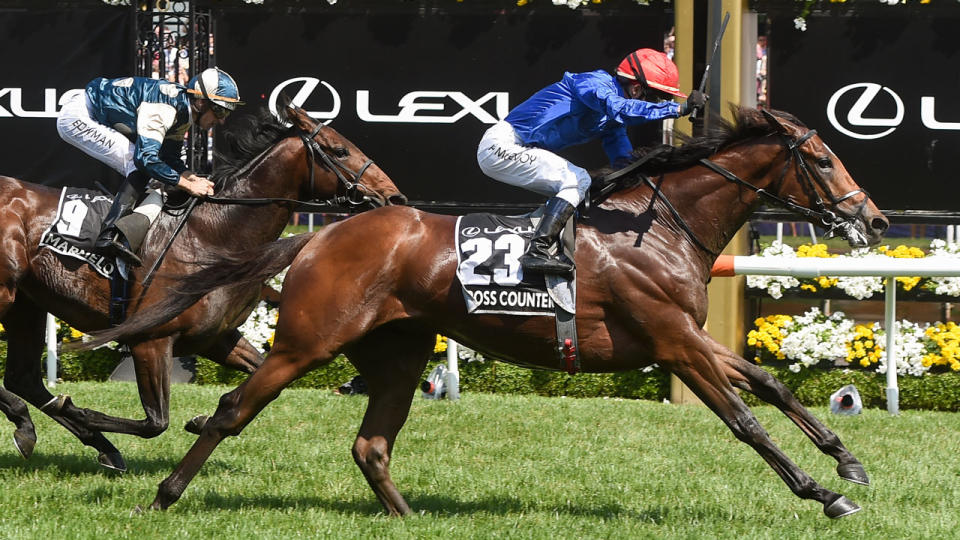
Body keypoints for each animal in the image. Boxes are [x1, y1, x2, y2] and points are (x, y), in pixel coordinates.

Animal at [0, 103, 404, 470]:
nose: (395, 198)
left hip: (26, 303)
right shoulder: (150, 339)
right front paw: (81, 411)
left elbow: (259, 375)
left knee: (23, 377)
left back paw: (50, 432)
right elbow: (155, 423)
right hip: (6, 294)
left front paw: (203, 420)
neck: (214, 233)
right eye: (340, 151)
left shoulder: (215, 337)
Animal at [95, 107, 884, 516]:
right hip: (305, 344)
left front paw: (848, 462)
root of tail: (319, 233)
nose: (870, 219)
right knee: (232, 411)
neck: (657, 228)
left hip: (400, 352)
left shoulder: (687, 335)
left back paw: (409, 519)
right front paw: (820, 492)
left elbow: (771, 383)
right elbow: (745, 419)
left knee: (370, 444)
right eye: (822, 160)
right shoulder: (672, 340)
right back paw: (160, 496)